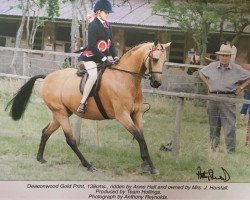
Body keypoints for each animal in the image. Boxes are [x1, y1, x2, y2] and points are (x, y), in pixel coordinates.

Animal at [7, 40, 172, 175]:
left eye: (164, 61)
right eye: (155, 59)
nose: (156, 83)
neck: (126, 79)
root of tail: (47, 77)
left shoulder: (136, 113)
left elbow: (142, 137)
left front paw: (147, 165)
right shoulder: (123, 116)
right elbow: (138, 136)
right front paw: (150, 166)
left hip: (62, 112)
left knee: (46, 132)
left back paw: (40, 158)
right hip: (60, 113)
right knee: (70, 140)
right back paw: (88, 165)